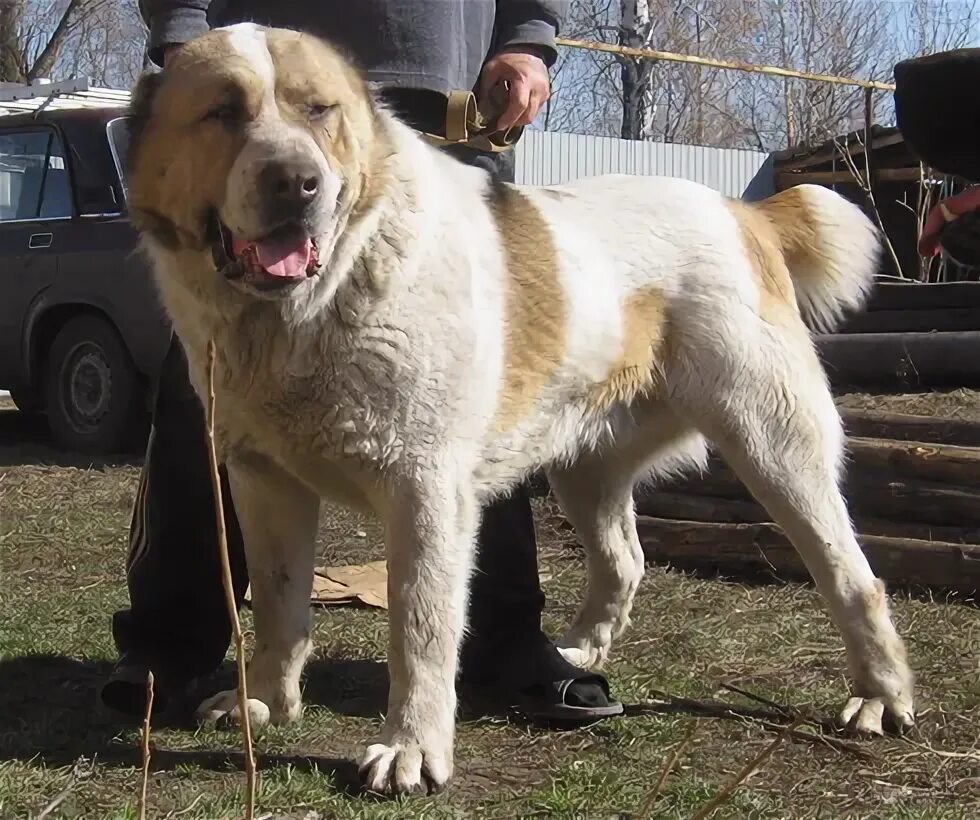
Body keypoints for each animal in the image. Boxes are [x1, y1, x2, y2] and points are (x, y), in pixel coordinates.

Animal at [126, 24, 916, 796]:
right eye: (223, 112)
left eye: (319, 111)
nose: (297, 182)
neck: (311, 308)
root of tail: (742, 210)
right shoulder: (263, 481)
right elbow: (278, 603)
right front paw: (263, 701)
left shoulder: (426, 492)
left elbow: (419, 627)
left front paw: (411, 749)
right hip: (586, 467)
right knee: (625, 559)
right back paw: (581, 654)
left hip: (773, 446)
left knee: (855, 577)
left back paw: (880, 695)